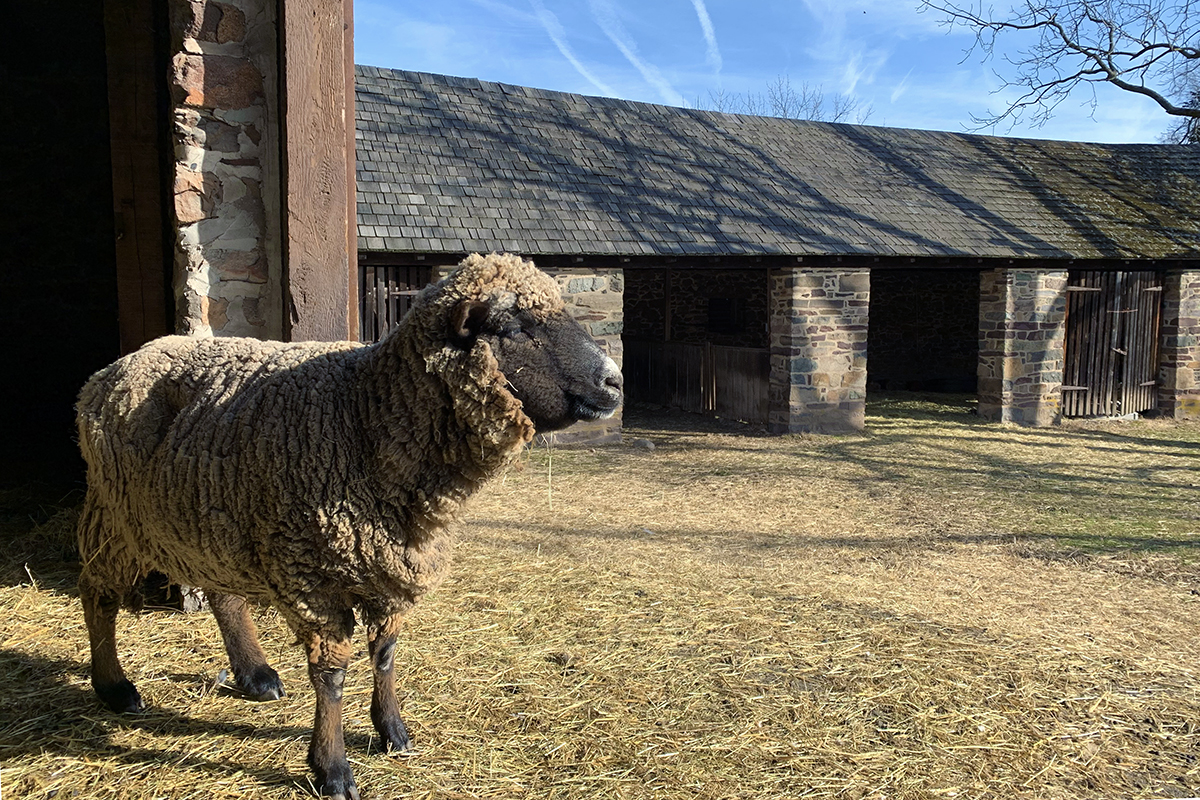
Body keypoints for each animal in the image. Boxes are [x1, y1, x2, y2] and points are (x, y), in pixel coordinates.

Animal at [75, 253, 623, 800]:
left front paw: (393, 731)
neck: (366, 415)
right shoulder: (311, 579)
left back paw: (255, 675)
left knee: (223, 595)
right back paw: (116, 688)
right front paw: (332, 768)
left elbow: (385, 655)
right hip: (118, 516)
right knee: (97, 594)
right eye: (514, 326)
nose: (614, 381)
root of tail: (111, 370)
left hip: (211, 515)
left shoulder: (389, 569)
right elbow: (332, 677)